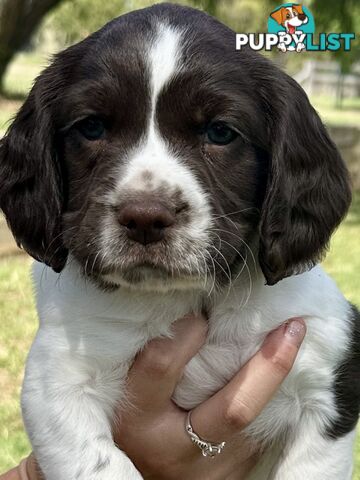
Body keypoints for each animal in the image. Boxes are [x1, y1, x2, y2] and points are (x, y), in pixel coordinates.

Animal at [0, 3, 360, 480]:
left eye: (220, 133)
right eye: (91, 127)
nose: (145, 217)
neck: (182, 297)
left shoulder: (325, 377)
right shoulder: (57, 379)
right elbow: (102, 464)